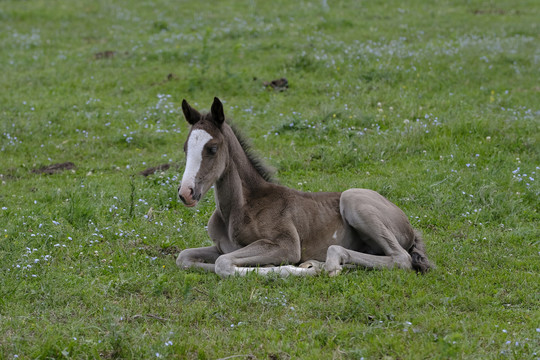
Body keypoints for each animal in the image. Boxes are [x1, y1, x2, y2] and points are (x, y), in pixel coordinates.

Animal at [176, 97, 430, 278]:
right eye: (185, 148)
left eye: (212, 148)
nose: (186, 193)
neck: (241, 207)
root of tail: (409, 226)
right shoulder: (222, 247)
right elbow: (184, 258)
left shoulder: (286, 245)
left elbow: (223, 264)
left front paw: (291, 269)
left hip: (353, 200)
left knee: (400, 258)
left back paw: (327, 263)